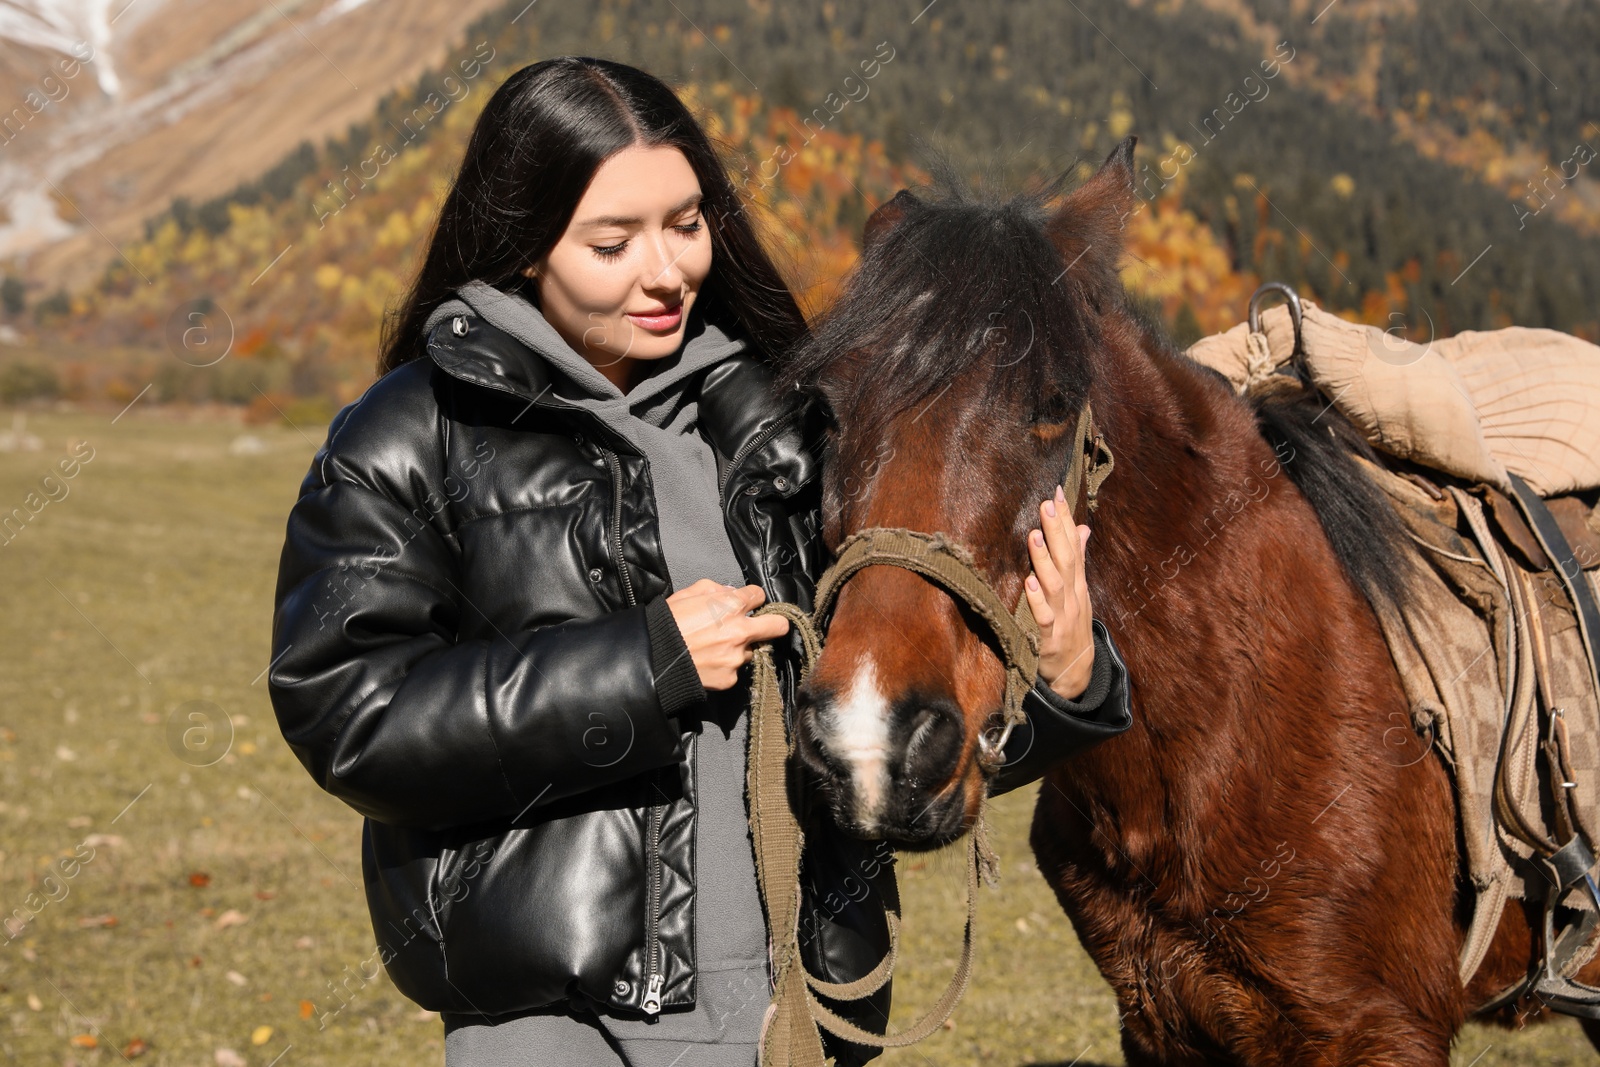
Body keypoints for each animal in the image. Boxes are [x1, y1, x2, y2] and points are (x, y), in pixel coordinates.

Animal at [771, 137, 1600, 1062]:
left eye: (1054, 404)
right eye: (827, 409)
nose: (871, 737)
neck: (1228, 711)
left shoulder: (1379, 1027)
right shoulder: (1160, 1016)